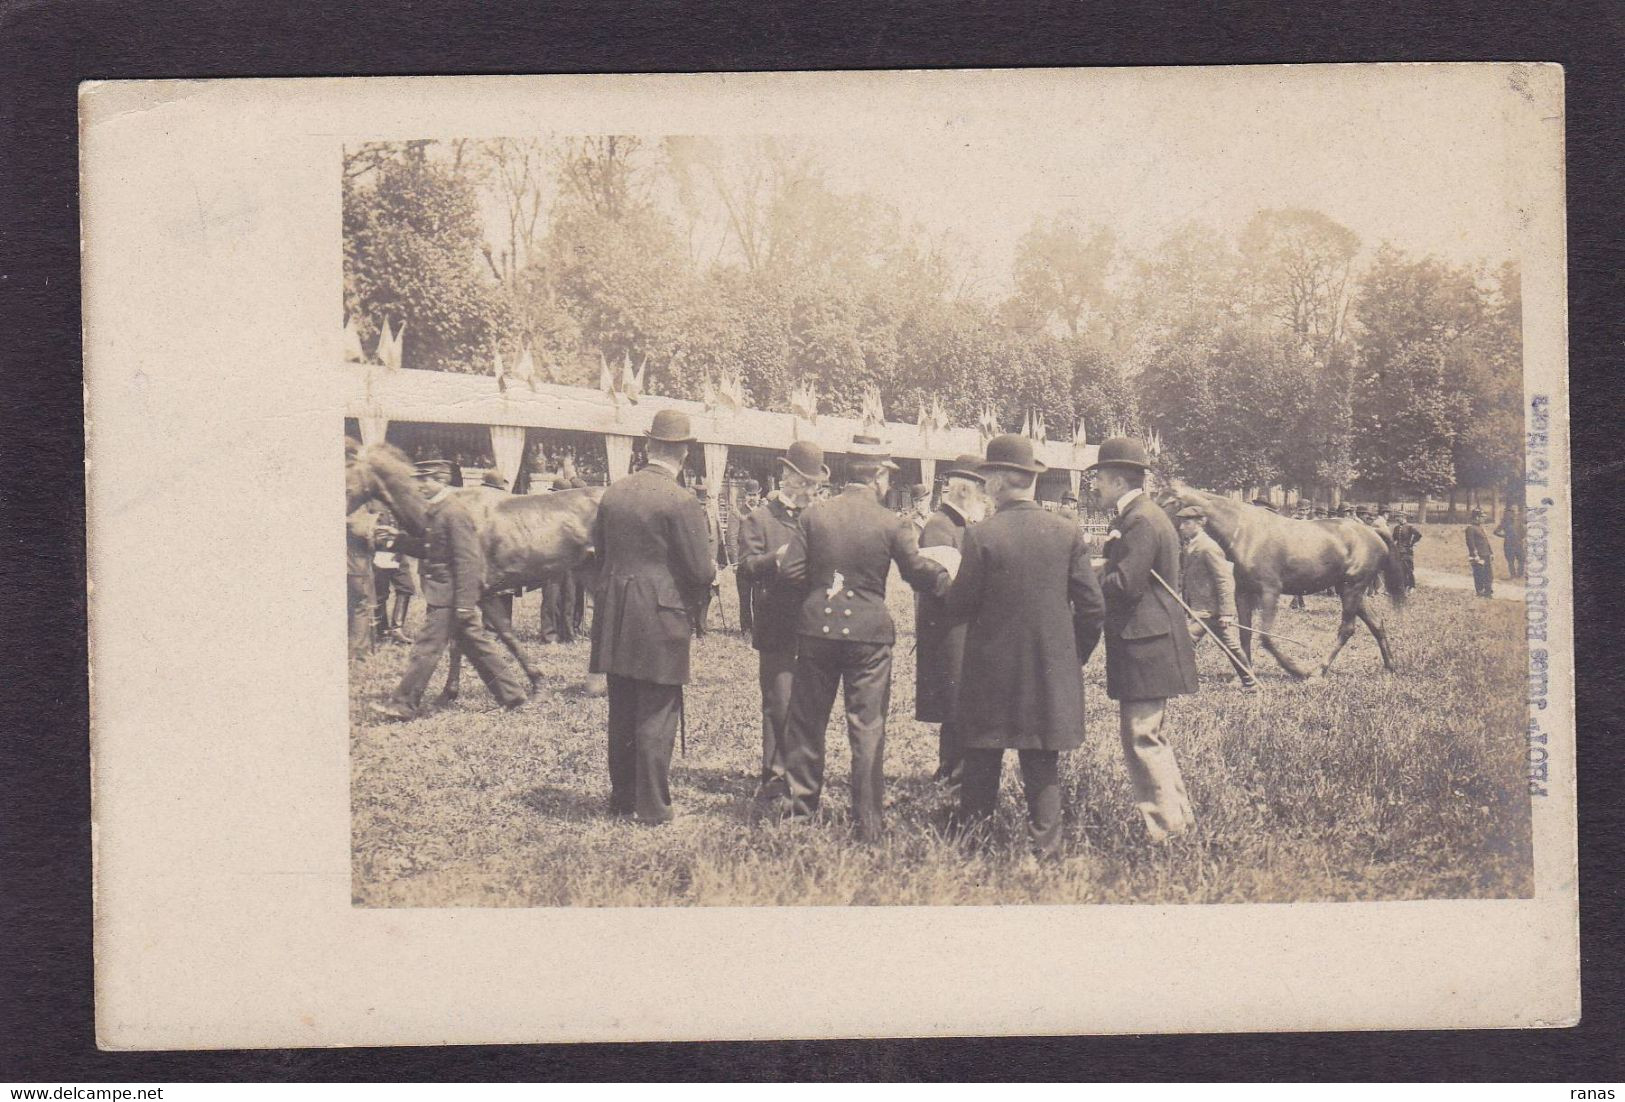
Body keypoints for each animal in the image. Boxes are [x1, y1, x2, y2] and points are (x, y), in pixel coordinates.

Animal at [344, 442, 604, 708]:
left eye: (347, 478)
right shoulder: (475, 594)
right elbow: (479, 637)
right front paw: (449, 692)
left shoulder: (477, 590)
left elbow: (493, 636)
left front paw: (535, 685)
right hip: (590, 573)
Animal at [1157, 484, 1410, 682]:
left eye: (1167, 501)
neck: (1246, 533)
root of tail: (1373, 532)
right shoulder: (1243, 592)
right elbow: (1245, 634)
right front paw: (1244, 675)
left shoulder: (1270, 591)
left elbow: (1266, 637)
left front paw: (1295, 669)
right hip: (1349, 590)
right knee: (1376, 624)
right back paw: (1390, 666)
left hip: (1352, 589)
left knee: (1347, 629)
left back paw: (1318, 671)